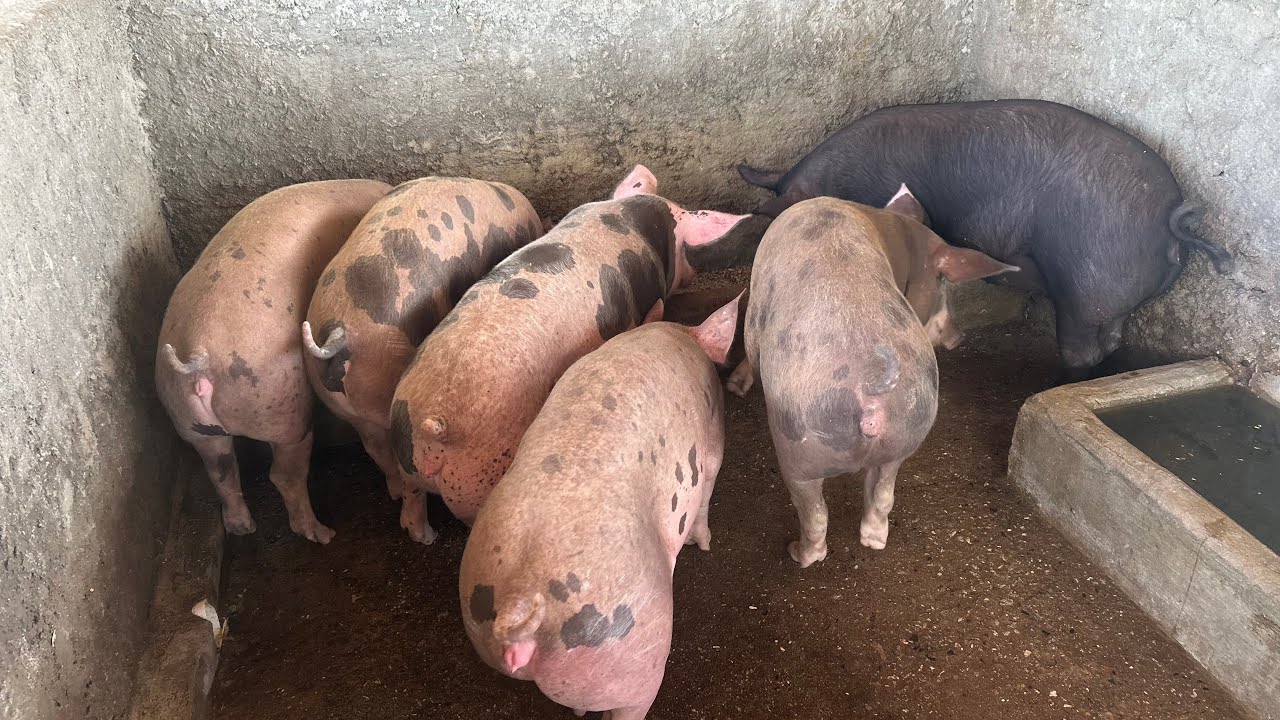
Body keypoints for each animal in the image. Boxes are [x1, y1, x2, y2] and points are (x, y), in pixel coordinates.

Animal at [156, 179, 392, 543]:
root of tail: (197, 353)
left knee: (221, 469)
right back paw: (322, 534)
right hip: (282, 406)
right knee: (283, 473)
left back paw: (243, 528)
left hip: (189, 420)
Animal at [388, 165, 747, 544]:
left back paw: (426, 536)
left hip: (406, 455)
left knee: (411, 501)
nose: (692, 274)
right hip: (480, 477)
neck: (634, 220)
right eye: (684, 246)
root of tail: (432, 420)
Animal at [739, 189, 1017, 567]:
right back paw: (873, 539)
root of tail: (870, 395)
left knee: (816, 517)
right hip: (905, 432)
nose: (959, 337)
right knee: (883, 493)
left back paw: (797, 553)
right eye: (943, 283)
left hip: (797, 448)